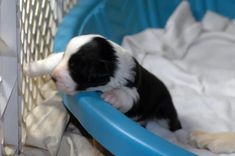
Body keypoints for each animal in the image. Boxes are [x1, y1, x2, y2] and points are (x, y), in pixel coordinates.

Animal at [24, 34, 182, 132]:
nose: (54, 78)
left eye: (75, 69)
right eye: (66, 59)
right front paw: (31, 67)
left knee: (173, 124)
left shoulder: (133, 90)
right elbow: (53, 60)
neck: (113, 63)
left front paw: (112, 96)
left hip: (165, 113)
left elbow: (126, 95)